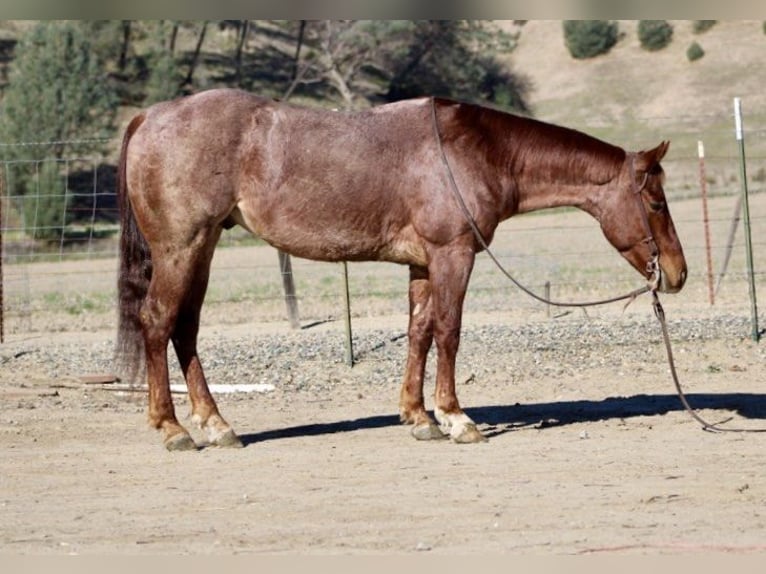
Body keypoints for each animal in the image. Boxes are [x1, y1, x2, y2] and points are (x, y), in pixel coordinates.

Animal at [116, 88, 687, 451]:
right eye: (656, 202)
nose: (678, 273)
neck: (475, 151)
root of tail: (150, 117)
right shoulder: (453, 254)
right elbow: (449, 331)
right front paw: (456, 417)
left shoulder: (422, 264)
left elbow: (419, 333)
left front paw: (418, 416)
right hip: (182, 247)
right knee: (158, 322)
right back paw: (173, 428)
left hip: (203, 247)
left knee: (185, 329)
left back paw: (217, 425)